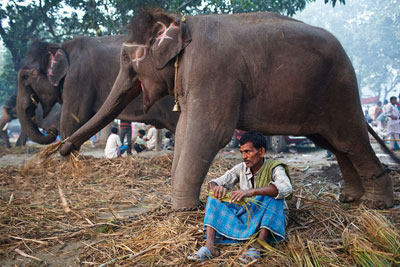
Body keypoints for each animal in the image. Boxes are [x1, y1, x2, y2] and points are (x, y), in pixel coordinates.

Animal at [60, 10, 400, 210]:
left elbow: (208, 131)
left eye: (128, 60)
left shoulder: (212, 70)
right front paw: (184, 206)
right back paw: (351, 198)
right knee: (332, 143)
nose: (64, 150)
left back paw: (379, 205)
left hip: (340, 90)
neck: (181, 22)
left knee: (349, 140)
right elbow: (184, 129)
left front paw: (183, 211)